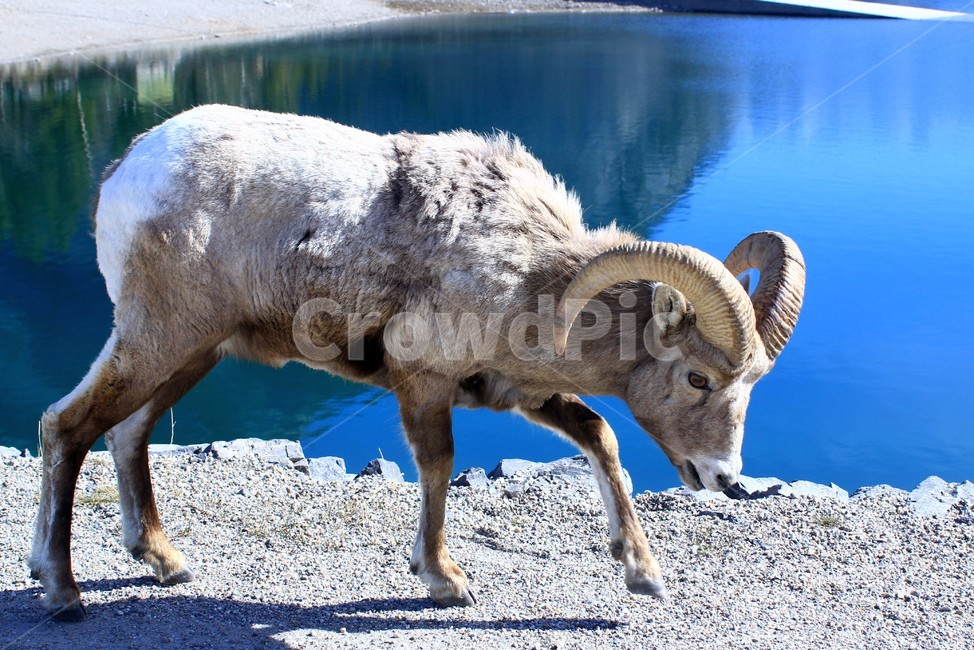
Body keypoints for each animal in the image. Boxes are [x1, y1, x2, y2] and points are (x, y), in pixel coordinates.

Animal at [29, 104, 805, 620]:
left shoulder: (523, 393)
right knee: (66, 427)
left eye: (753, 383)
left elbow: (601, 437)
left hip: (192, 354)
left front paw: (643, 575)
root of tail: (126, 171)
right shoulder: (425, 384)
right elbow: (438, 468)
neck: (525, 267)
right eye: (699, 377)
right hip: (159, 339)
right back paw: (62, 590)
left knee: (127, 433)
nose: (725, 478)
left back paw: (165, 564)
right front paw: (443, 579)